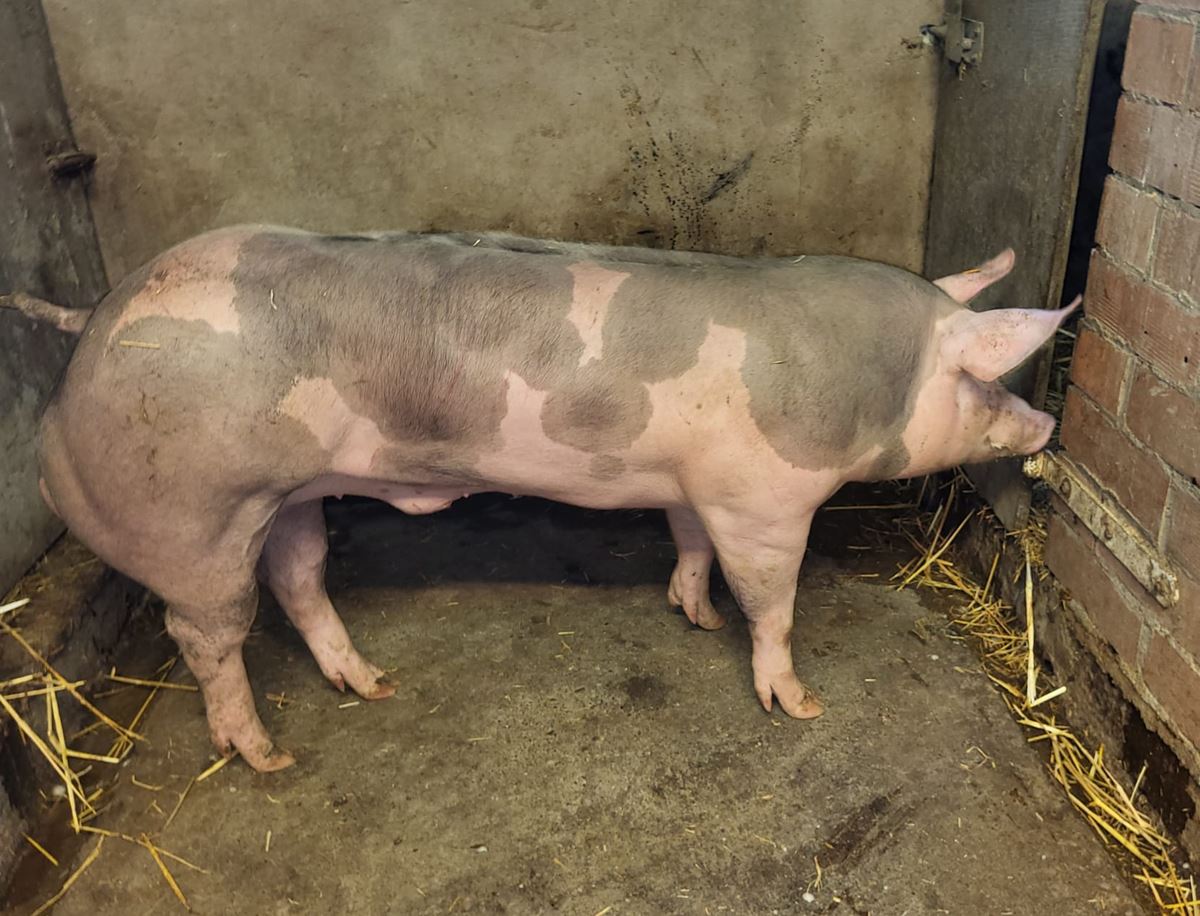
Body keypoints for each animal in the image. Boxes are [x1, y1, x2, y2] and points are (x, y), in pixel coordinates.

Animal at [1, 227, 1076, 772]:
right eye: (981, 377)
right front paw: (799, 704)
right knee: (205, 633)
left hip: (285, 494)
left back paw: (370, 684)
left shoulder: (691, 481)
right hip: (190, 511)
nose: (1047, 425)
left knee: (298, 581)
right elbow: (771, 597)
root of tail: (93, 321)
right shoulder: (762, 497)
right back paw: (263, 754)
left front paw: (691, 615)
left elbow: (686, 545)